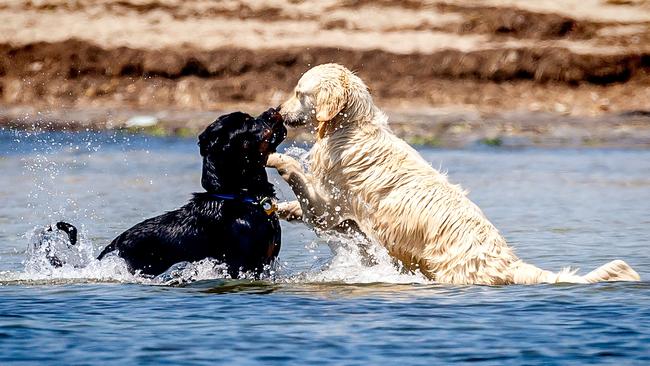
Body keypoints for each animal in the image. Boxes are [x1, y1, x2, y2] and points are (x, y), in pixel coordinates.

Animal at [264, 64, 636, 284]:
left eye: (299, 93)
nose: (278, 111)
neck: (350, 128)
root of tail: (506, 262)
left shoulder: (330, 208)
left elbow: (301, 179)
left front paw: (274, 157)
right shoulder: (340, 216)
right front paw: (285, 209)